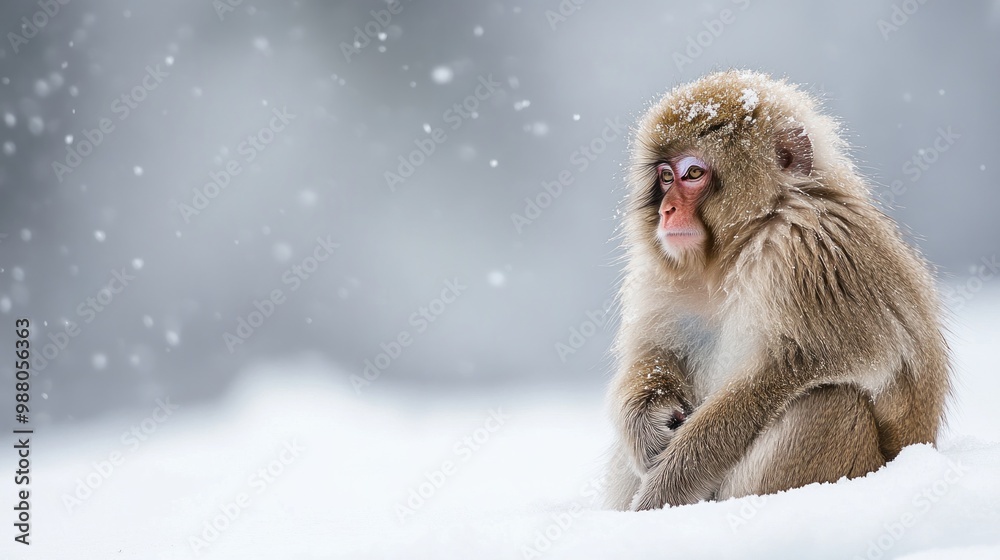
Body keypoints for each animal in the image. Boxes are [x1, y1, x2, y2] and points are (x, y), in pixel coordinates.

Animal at [600, 70, 952, 512]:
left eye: (693, 174)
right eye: (666, 177)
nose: (667, 211)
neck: (733, 255)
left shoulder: (811, 255)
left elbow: (793, 370)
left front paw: (666, 490)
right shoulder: (659, 274)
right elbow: (654, 351)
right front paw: (647, 421)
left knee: (827, 402)